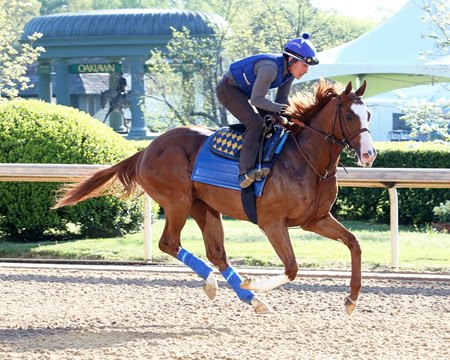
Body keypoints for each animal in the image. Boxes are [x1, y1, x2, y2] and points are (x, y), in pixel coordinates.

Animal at [52, 79, 376, 316]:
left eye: (369, 114)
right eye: (349, 115)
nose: (369, 155)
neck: (306, 161)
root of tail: (145, 150)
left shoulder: (315, 219)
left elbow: (354, 243)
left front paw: (351, 299)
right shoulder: (272, 222)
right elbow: (292, 267)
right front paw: (255, 281)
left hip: (204, 207)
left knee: (217, 253)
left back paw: (250, 298)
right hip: (177, 201)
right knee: (169, 243)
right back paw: (216, 284)